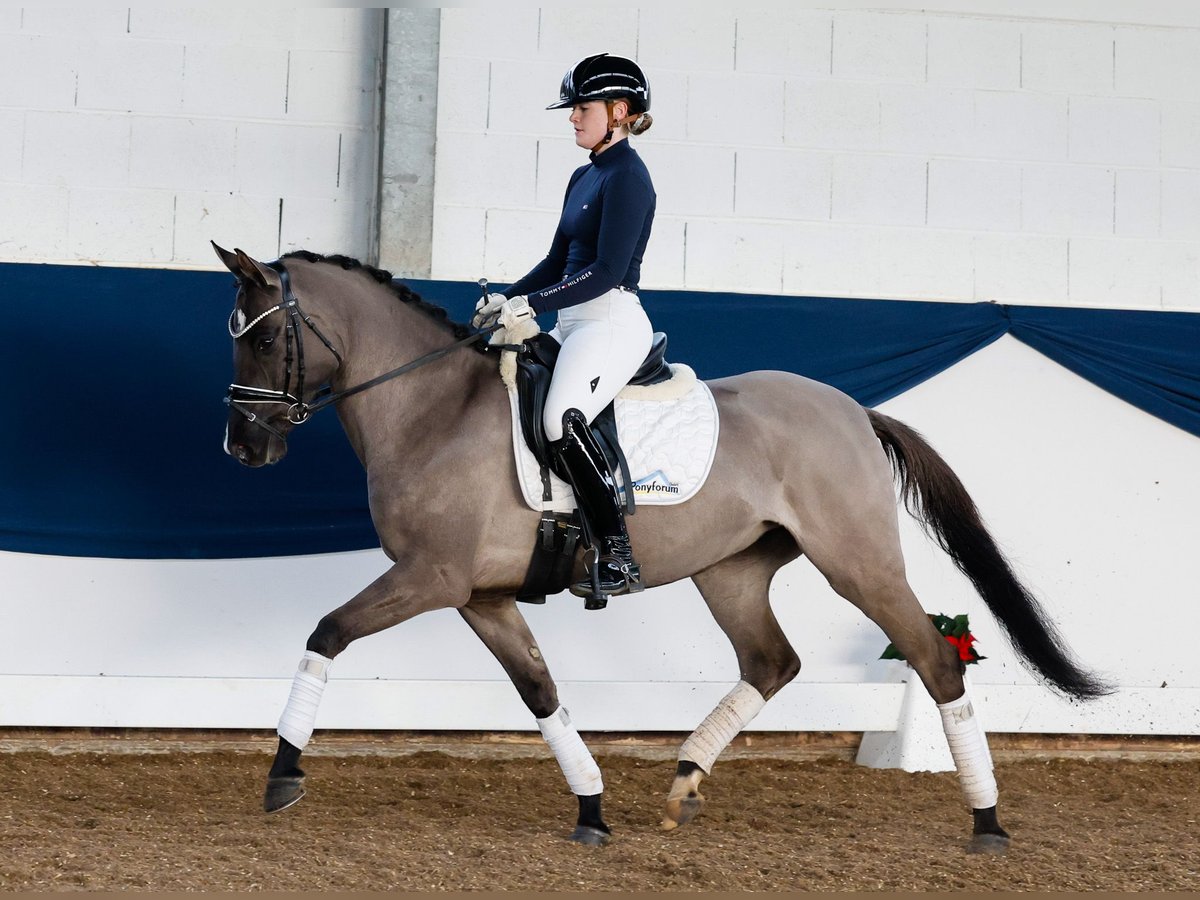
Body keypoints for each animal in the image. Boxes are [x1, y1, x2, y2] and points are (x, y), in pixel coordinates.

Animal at [213, 244, 1104, 854]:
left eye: (261, 340)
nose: (242, 448)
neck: (430, 407)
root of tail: (853, 411)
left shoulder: (430, 577)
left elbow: (327, 633)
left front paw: (283, 774)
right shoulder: (481, 596)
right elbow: (541, 693)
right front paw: (591, 809)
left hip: (860, 564)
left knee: (936, 659)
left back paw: (987, 823)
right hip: (731, 571)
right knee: (772, 662)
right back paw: (683, 782)